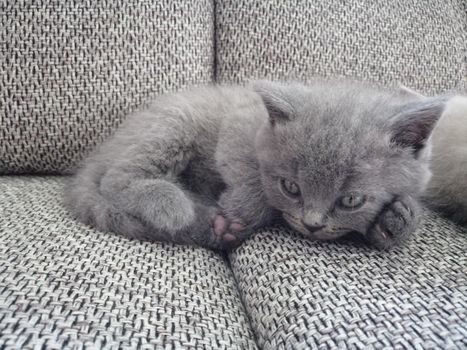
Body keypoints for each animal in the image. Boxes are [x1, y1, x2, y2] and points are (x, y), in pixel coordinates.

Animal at [66, 79, 450, 249]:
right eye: (291, 188)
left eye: (351, 200)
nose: (312, 225)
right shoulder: (239, 121)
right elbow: (250, 176)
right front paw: (242, 210)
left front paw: (398, 218)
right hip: (172, 124)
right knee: (116, 179)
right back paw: (175, 207)